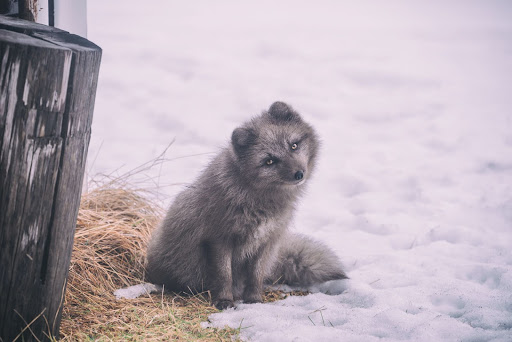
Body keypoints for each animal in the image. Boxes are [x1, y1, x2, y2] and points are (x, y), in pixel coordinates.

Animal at [148, 101, 348, 310]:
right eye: (269, 161)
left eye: (294, 145)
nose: (299, 174)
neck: (259, 202)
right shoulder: (220, 239)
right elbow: (224, 275)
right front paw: (224, 300)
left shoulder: (266, 241)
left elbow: (256, 276)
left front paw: (254, 300)